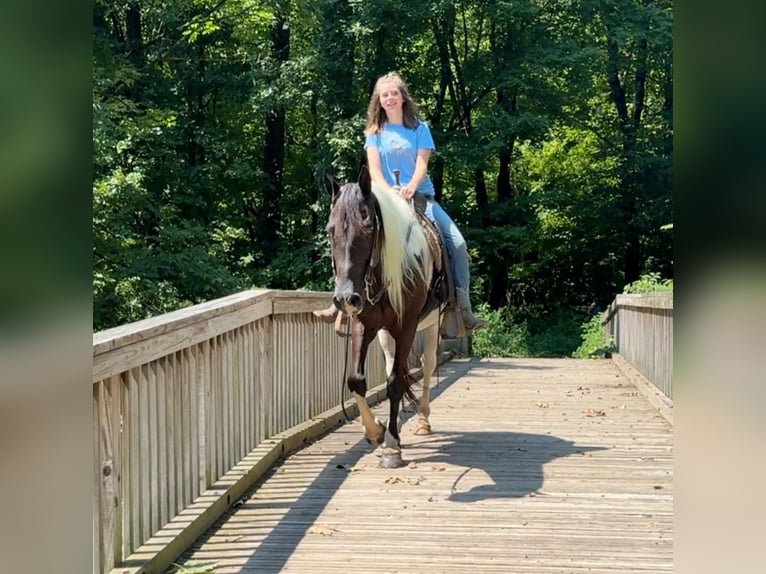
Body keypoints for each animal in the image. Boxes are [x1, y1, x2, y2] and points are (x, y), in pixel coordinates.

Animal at [326, 169, 444, 470]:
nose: (345, 297)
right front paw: (376, 432)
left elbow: (395, 383)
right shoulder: (362, 324)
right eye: (330, 230)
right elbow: (356, 379)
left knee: (427, 365)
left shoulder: (407, 326)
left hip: (432, 324)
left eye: (368, 227)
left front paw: (391, 446)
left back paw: (422, 421)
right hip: (384, 333)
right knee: (393, 363)